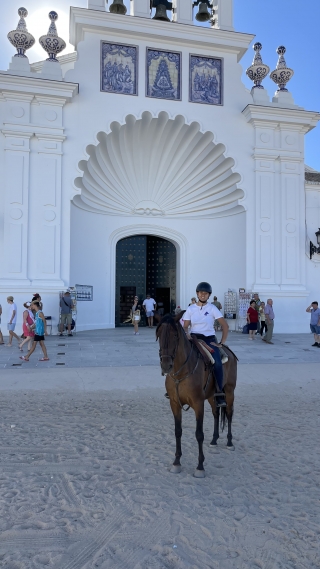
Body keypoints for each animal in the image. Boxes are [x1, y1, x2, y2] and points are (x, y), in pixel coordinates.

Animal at [155, 312, 238, 478]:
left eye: (175, 335)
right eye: (159, 335)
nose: (166, 365)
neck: (181, 370)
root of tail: (227, 350)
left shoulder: (198, 404)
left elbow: (199, 434)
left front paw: (200, 466)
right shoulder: (174, 403)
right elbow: (178, 431)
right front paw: (176, 463)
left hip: (230, 391)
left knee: (229, 413)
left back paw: (229, 442)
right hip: (212, 396)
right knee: (216, 413)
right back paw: (214, 440)